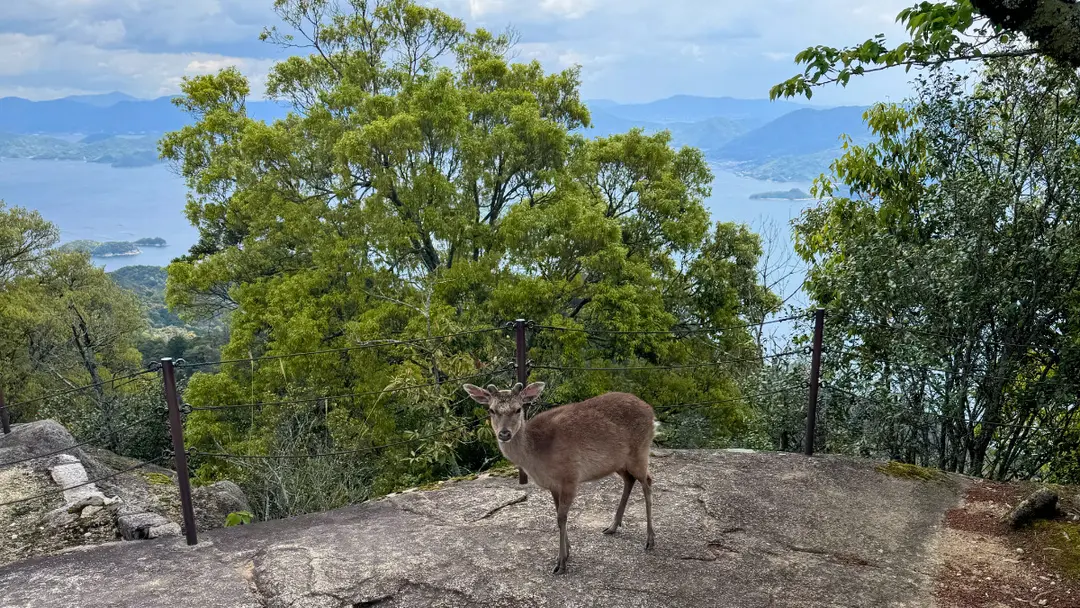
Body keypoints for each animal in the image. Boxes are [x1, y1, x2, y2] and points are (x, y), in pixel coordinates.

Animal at [462, 381, 656, 575]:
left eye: (518, 409)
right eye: (491, 410)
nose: (504, 433)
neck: (536, 457)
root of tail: (651, 412)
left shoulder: (571, 476)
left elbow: (561, 517)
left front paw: (561, 563)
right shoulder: (553, 485)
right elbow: (557, 515)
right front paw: (566, 552)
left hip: (640, 451)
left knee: (647, 481)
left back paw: (650, 539)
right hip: (619, 462)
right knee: (629, 480)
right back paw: (612, 526)